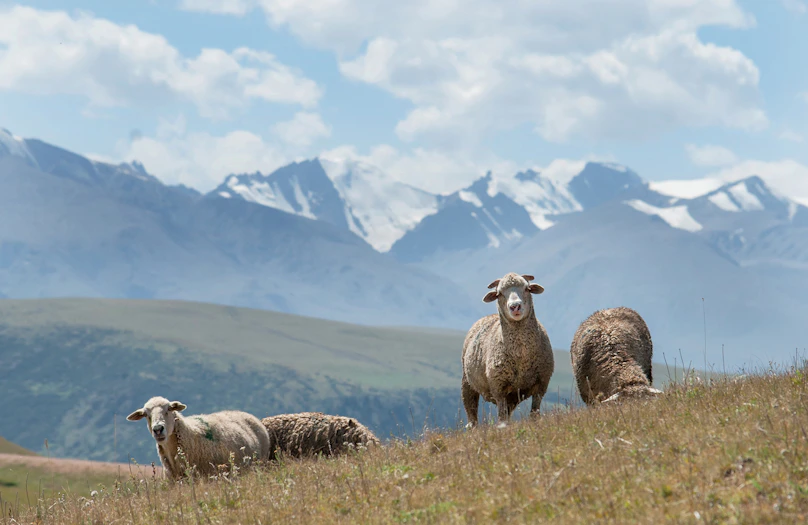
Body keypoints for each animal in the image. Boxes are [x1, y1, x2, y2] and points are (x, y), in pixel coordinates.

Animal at [461, 272, 555, 428]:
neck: (521, 355)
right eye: (499, 294)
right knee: (471, 410)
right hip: (467, 382)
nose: (515, 306)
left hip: (512, 397)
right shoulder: (499, 389)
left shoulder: (541, 384)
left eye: (527, 288)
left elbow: (534, 414)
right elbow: (502, 419)